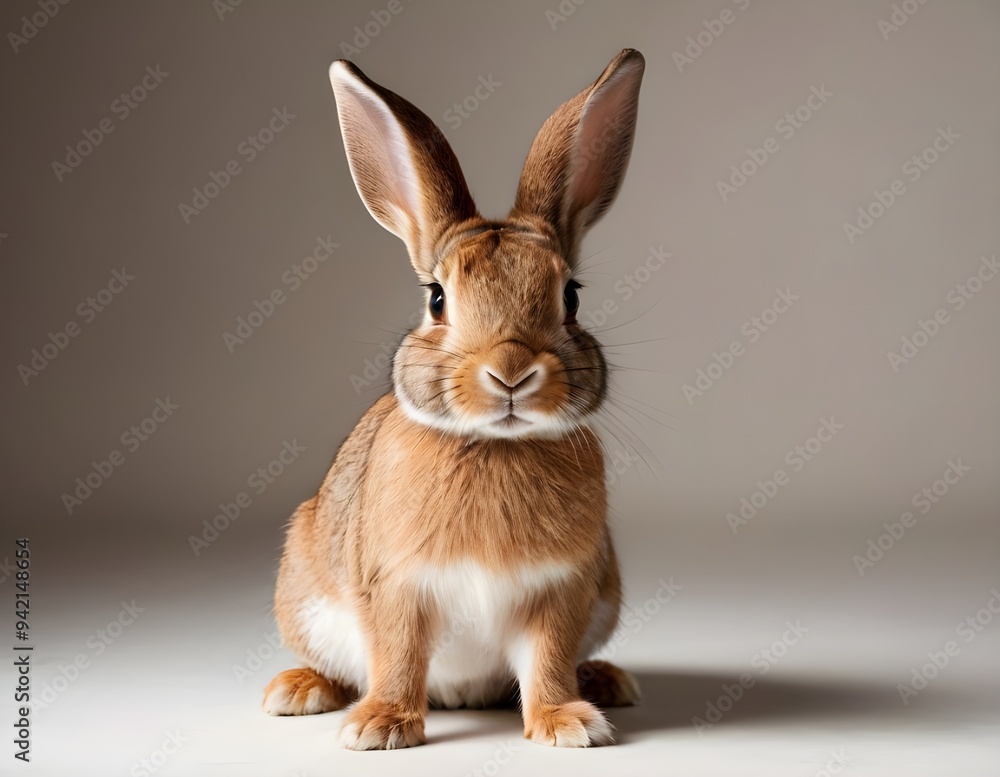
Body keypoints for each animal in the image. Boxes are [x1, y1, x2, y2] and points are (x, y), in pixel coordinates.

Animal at [262, 48, 645, 750]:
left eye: (572, 296)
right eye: (437, 299)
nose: (512, 371)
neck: (496, 444)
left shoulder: (562, 592)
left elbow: (549, 660)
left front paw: (567, 726)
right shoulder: (396, 588)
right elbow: (397, 654)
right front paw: (380, 729)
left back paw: (607, 683)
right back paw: (300, 691)